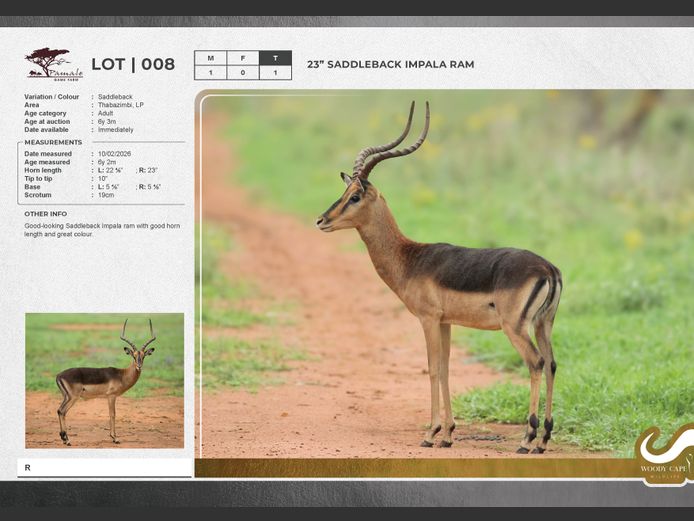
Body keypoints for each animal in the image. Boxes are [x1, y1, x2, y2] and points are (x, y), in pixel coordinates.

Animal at [316, 102, 562, 453]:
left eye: (355, 196)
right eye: (344, 191)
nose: (321, 220)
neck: (410, 258)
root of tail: (548, 269)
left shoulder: (428, 319)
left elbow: (432, 369)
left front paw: (431, 433)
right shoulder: (446, 322)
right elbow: (446, 370)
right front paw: (447, 434)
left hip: (515, 327)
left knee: (537, 362)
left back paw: (527, 439)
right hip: (544, 324)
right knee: (552, 363)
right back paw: (543, 440)